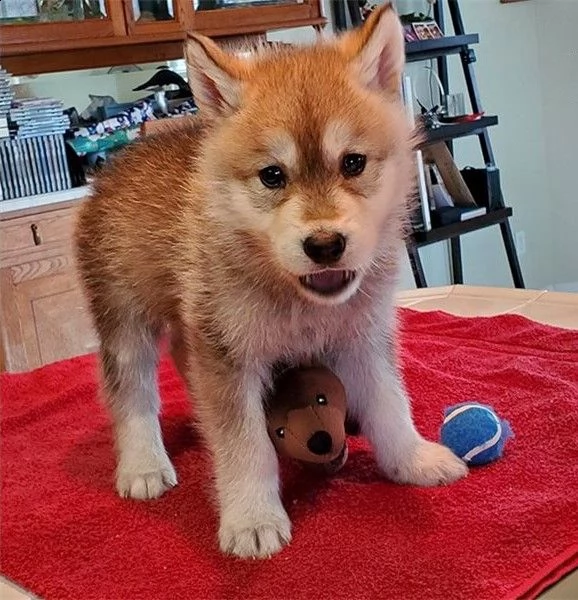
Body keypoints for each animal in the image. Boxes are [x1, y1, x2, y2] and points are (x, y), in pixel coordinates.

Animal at [74, 2, 466, 560]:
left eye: (353, 163)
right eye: (272, 176)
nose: (324, 245)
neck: (297, 299)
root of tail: (117, 161)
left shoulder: (362, 338)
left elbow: (391, 404)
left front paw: (412, 460)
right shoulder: (228, 358)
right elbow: (244, 444)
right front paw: (252, 518)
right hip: (125, 321)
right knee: (131, 393)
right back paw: (143, 463)